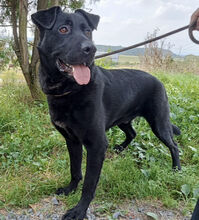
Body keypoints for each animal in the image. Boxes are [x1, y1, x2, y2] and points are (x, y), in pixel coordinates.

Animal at [31, 6, 181, 219]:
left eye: (88, 31)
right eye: (63, 29)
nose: (91, 49)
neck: (69, 90)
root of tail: (158, 79)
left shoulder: (97, 145)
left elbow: (89, 184)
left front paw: (79, 210)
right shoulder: (72, 140)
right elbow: (75, 170)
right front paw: (70, 189)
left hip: (159, 123)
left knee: (174, 145)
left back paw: (176, 169)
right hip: (124, 120)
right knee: (132, 132)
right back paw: (120, 148)